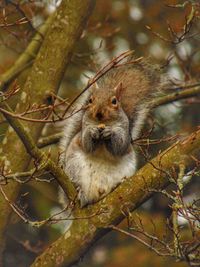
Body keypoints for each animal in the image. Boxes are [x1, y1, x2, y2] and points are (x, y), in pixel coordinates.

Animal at [59, 57, 166, 208]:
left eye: (114, 101)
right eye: (90, 100)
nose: (99, 113)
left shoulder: (124, 131)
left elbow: (119, 147)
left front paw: (111, 133)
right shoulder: (83, 130)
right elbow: (87, 144)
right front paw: (92, 132)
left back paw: (117, 185)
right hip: (75, 166)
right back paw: (80, 191)